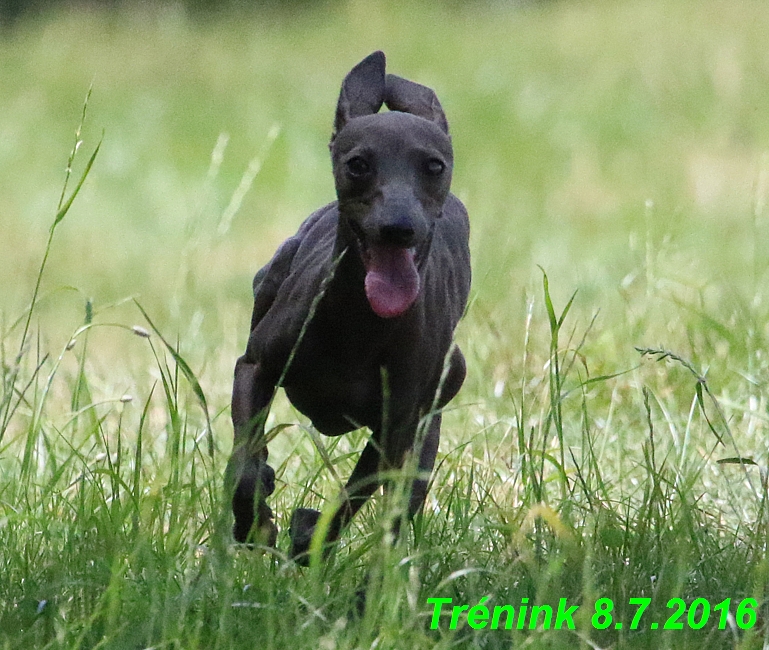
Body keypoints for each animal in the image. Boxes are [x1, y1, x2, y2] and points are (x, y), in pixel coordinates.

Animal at [225, 50, 472, 560]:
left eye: (433, 166)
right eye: (357, 164)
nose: (398, 228)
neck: (362, 322)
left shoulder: (396, 426)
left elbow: (352, 495)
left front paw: (309, 535)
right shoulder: (255, 367)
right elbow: (243, 460)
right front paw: (255, 522)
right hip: (269, 281)